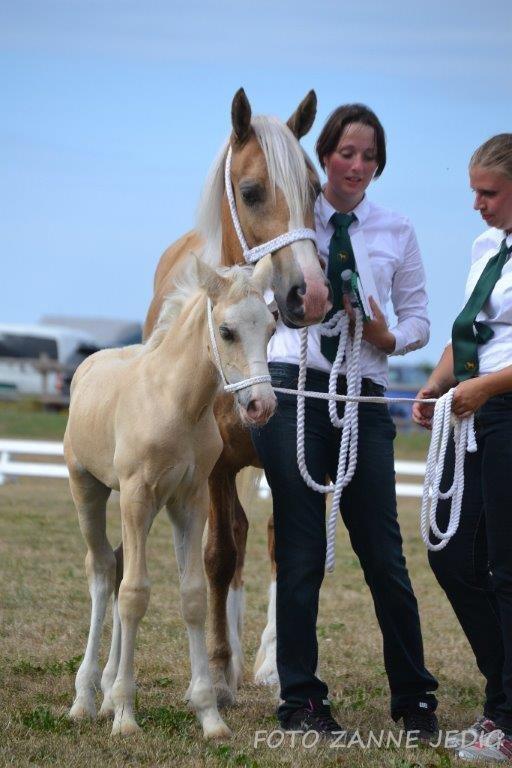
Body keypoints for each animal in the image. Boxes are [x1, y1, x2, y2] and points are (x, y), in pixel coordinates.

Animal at [64, 260, 276, 736]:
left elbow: (193, 595)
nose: (262, 405)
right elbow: (134, 594)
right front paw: (126, 716)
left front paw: (209, 714)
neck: (175, 403)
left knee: (118, 564)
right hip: (89, 488)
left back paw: (105, 690)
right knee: (102, 572)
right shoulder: (138, 496)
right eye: (227, 330)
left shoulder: (189, 501)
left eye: (272, 328)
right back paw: (86, 697)